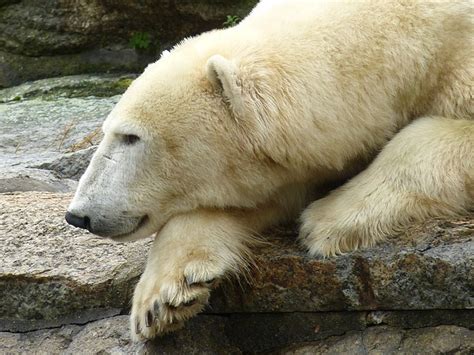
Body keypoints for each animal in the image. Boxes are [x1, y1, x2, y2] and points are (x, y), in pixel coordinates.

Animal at [65, 0, 472, 342]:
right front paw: (162, 297)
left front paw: (329, 218)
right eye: (109, 130)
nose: (78, 215)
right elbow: (263, 196)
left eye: (131, 136)